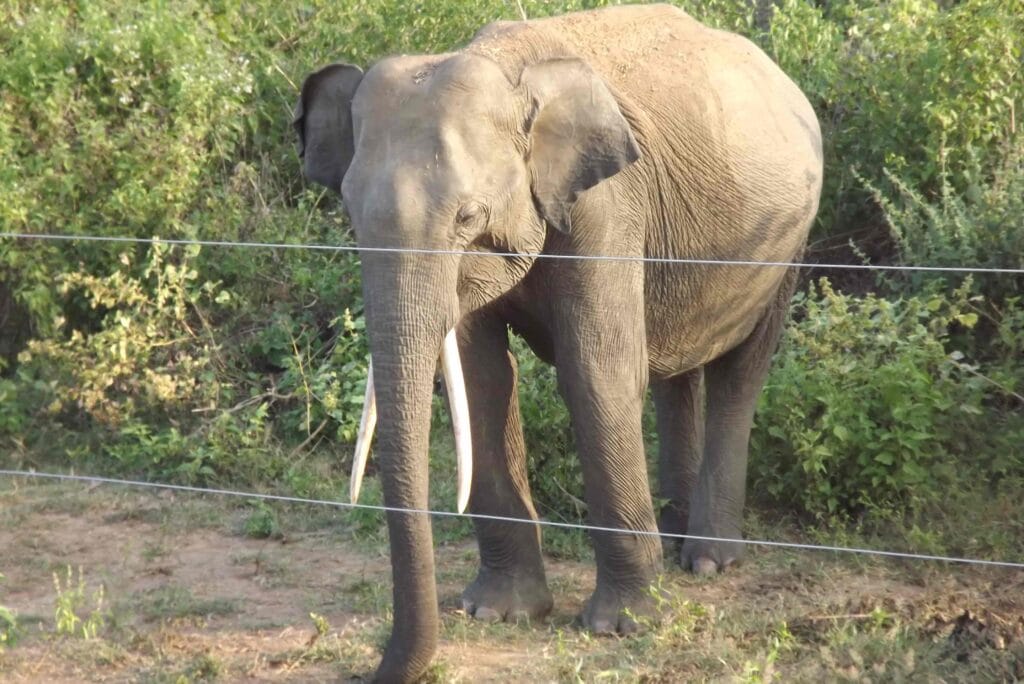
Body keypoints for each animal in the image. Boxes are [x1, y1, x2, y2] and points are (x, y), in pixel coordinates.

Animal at [294, 4, 822, 681]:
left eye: (468, 217)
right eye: (351, 215)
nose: (377, 667)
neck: (507, 69)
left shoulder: (606, 206)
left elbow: (597, 370)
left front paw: (622, 627)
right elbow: (482, 379)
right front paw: (498, 613)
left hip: (788, 243)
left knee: (741, 369)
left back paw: (709, 560)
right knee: (677, 369)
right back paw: (674, 536)